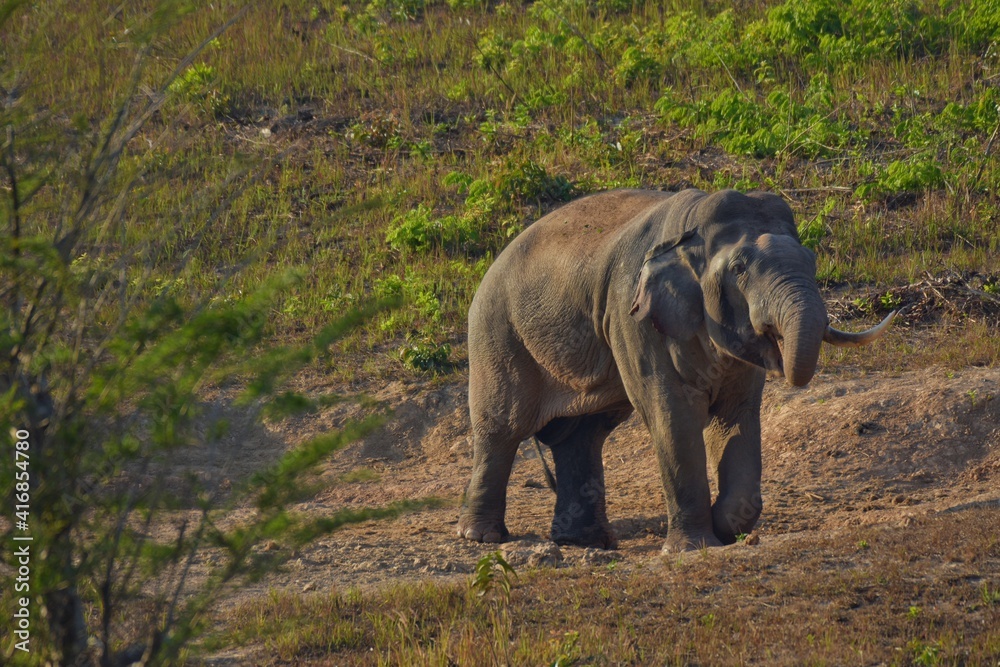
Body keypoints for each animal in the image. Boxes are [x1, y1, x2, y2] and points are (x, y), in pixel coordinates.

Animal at [457, 188, 894, 552]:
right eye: (739, 268)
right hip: (498, 334)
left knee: (583, 435)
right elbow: (673, 417)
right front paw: (693, 547)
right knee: (503, 426)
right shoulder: (633, 317)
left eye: (813, 261)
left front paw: (726, 527)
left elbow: (736, 417)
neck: (690, 231)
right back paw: (482, 537)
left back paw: (585, 542)